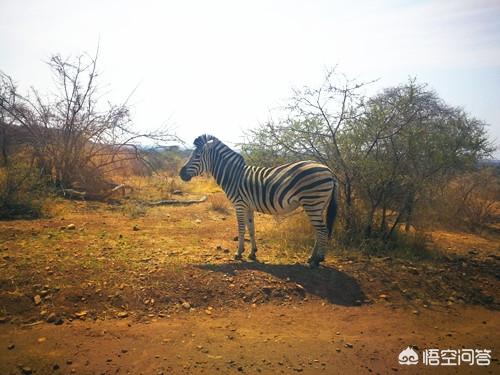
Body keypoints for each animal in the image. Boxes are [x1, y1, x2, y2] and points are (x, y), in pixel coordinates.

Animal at [178, 134, 338, 268]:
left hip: (313, 202)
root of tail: (329, 170)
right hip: (319, 205)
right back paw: (311, 258)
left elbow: (241, 229)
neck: (233, 176)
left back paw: (318, 260)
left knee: (322, 230)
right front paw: (252, 252)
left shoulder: (239, 204)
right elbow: (251, 229)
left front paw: (238, 253)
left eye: (197, 155)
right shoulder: (249, 206)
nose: (181, 174)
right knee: (319, 230)